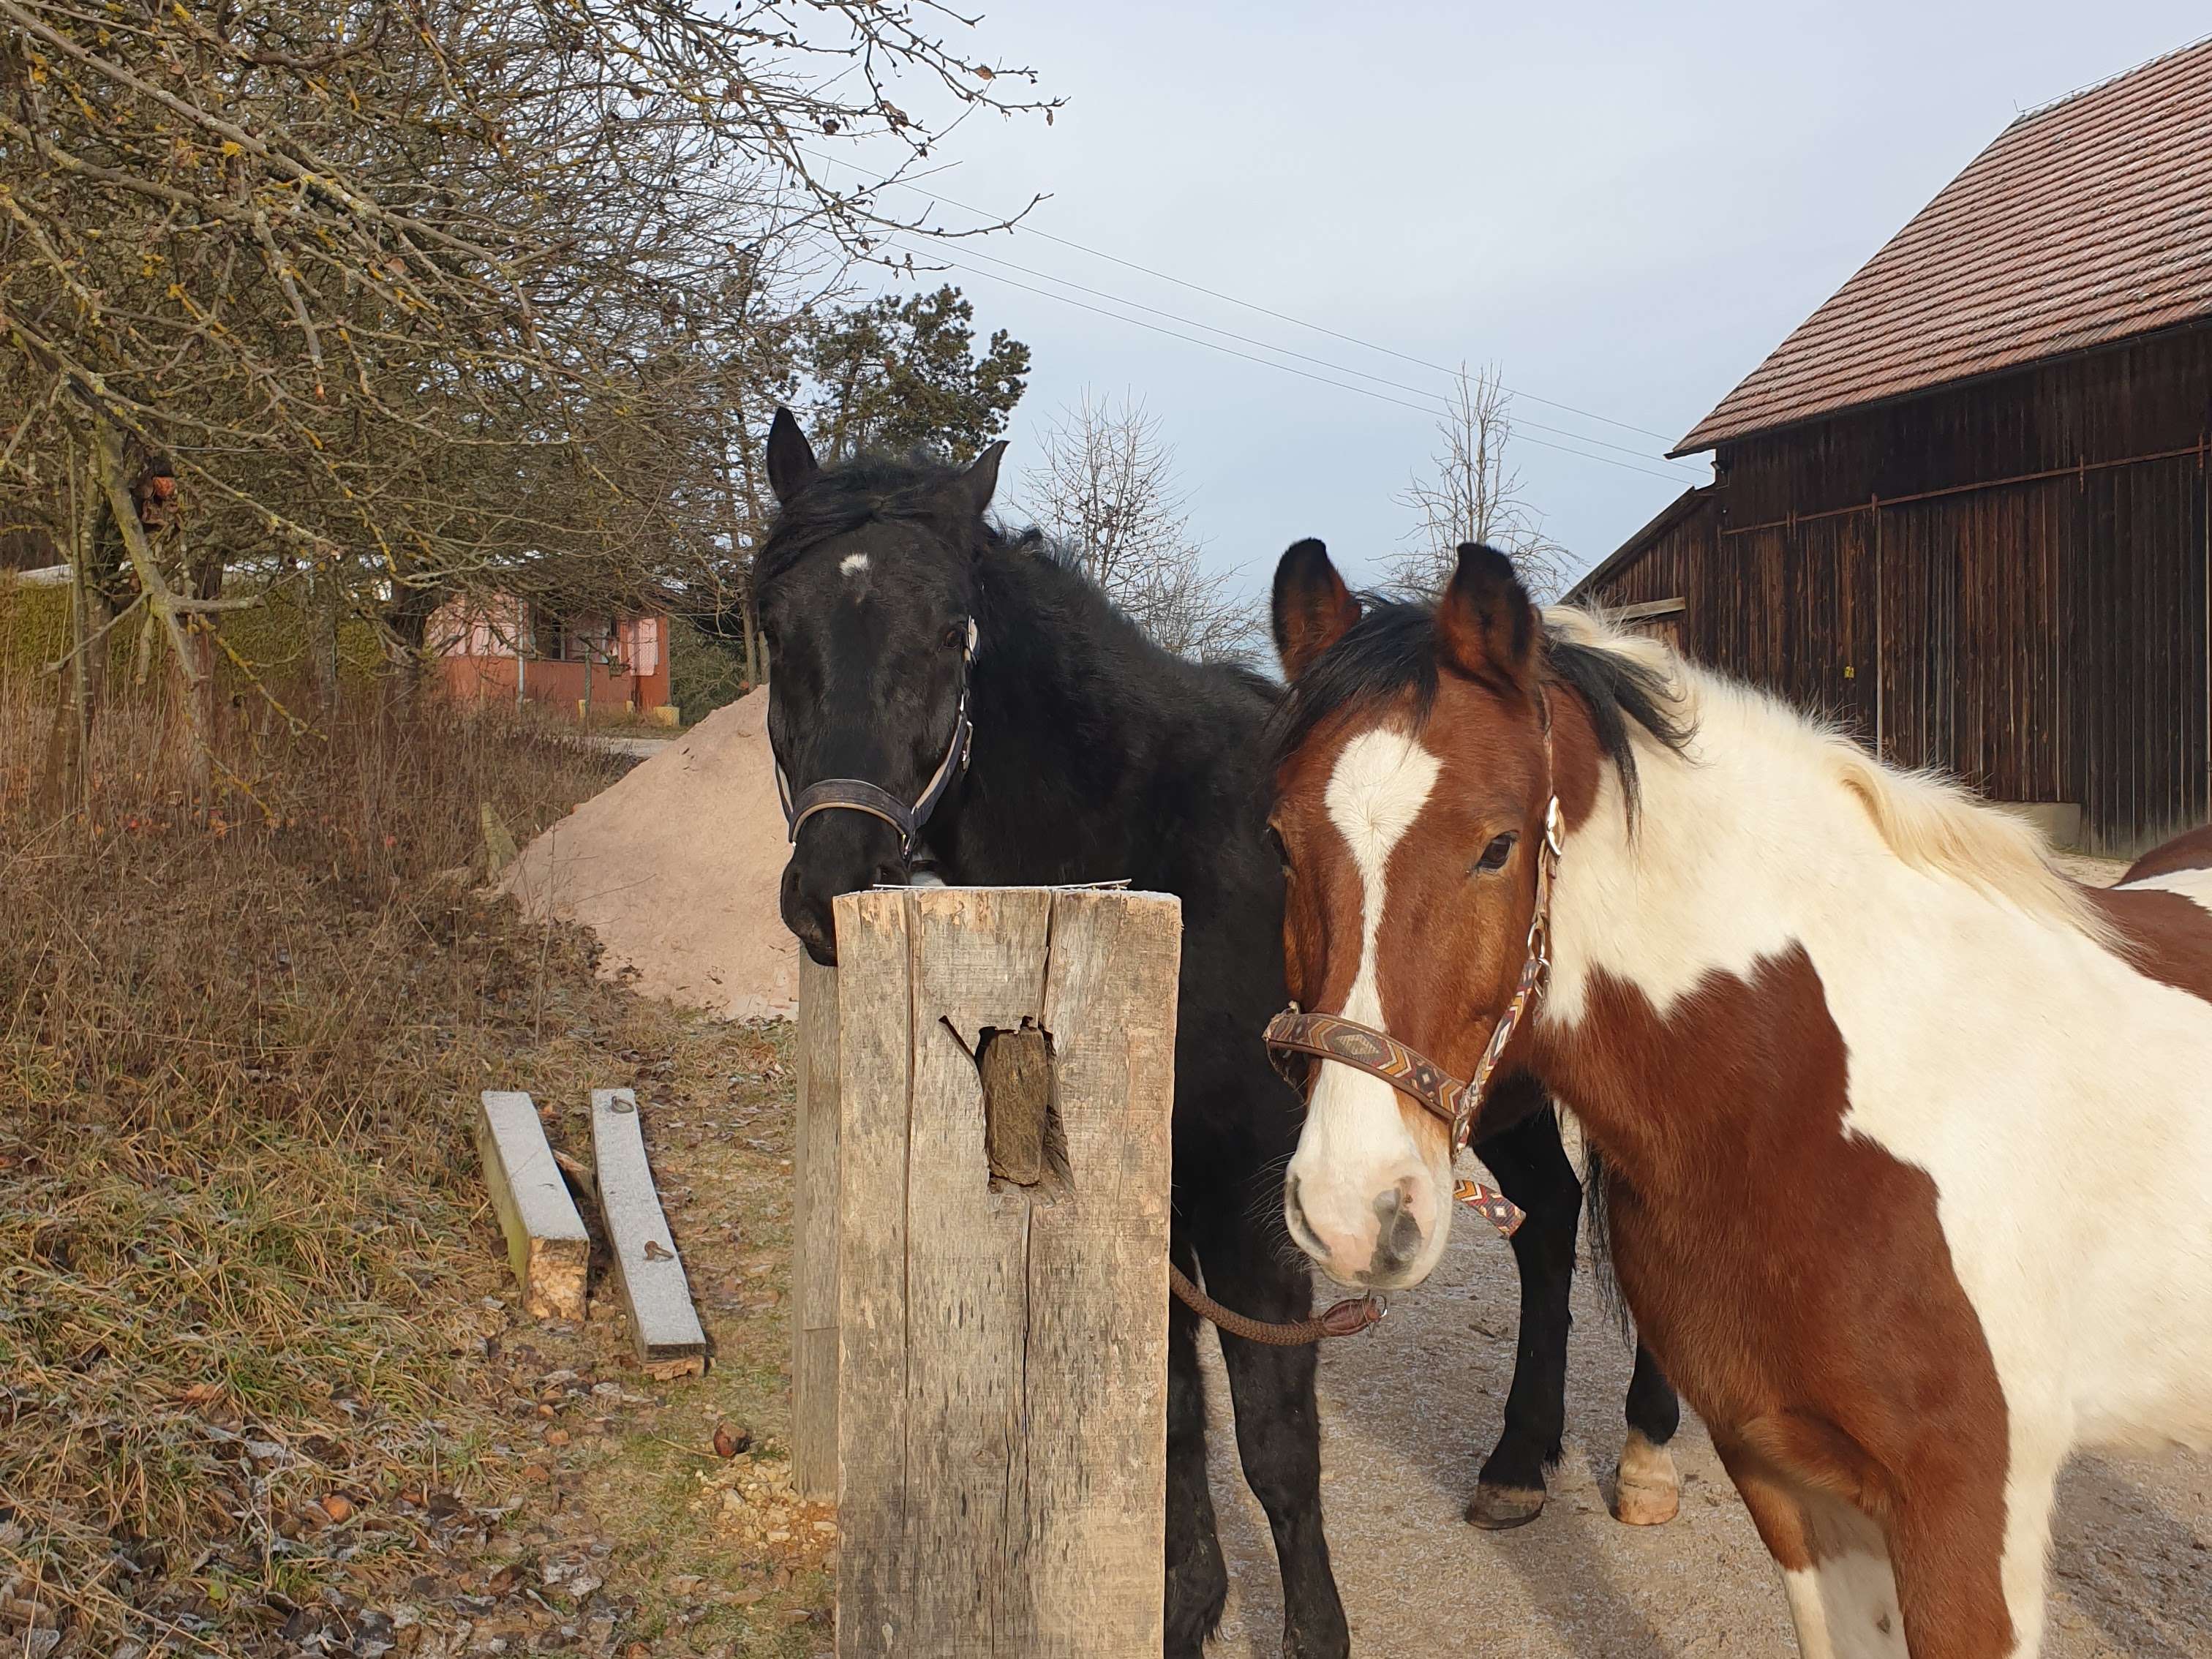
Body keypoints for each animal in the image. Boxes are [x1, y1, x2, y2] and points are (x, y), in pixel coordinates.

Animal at [754, 412, 1683, 1657]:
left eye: (951, 630)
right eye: (776, 624)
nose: (833, 884)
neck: (1167, 862)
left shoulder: (1251, 1204)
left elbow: (1274, 1445)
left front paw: (1313, 1634)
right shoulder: (1147, 1207)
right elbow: (1176, 1425)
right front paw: (1185, 1613)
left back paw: (1645, 1455)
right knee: (1549, 1225)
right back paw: (1517, 1464)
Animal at [1262, 536, 2212, 1657]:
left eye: (1496, 845)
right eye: (1279, 842)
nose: (1352, 1210)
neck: (1809, 1103)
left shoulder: (1971, 1516)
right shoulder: (1790, 1482)